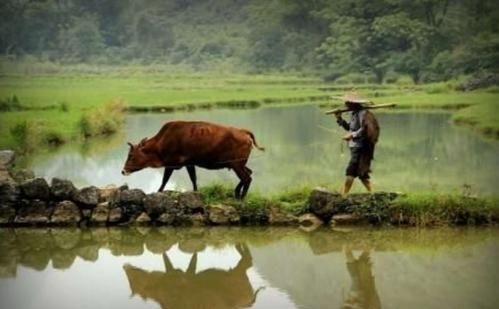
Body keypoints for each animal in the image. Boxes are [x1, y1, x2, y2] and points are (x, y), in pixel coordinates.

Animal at [121, 119, 266, 199]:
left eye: (131, 155)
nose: (123, 171)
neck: (161, 143)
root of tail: (244, 132)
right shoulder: (190, 163)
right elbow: (194, 179)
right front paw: (196, 192)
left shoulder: (171, 164)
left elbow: (164, 180)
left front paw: (158, 192)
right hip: (239, 164)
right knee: (249, 173)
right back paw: (236, 193)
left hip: (236, 164)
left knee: (247, 178)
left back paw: (241, 198)